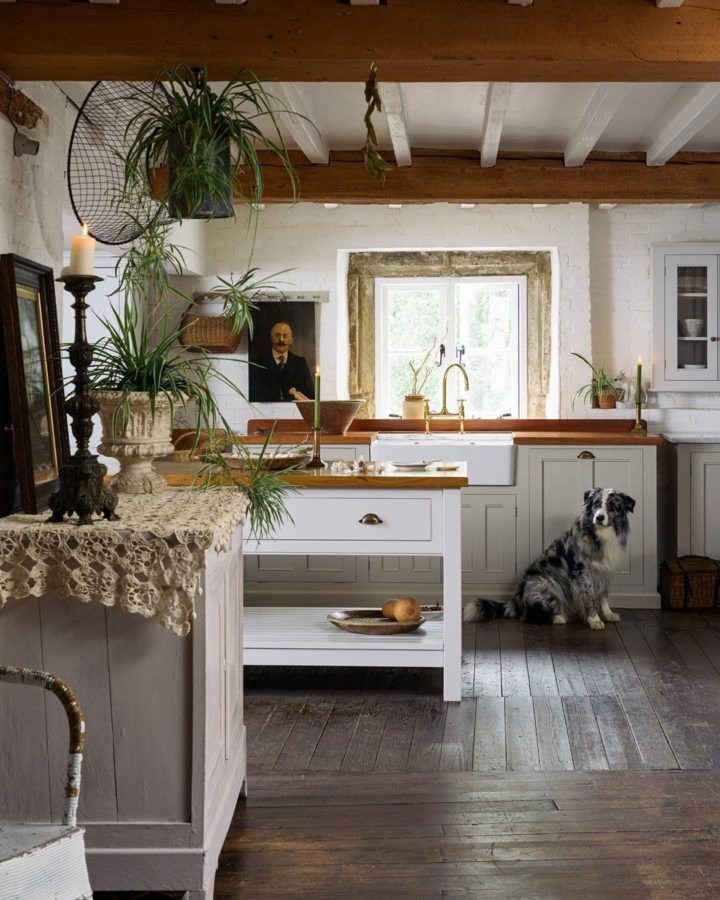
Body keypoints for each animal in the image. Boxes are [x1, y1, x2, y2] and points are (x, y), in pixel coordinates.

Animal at [464, 488, 632, 628]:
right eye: (596, 504)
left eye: (612, 506)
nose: (599, 517)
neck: (600, 535)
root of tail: (517, 602)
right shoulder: (581, 572)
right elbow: (589, 597)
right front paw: (594, 620)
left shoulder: (605, 571)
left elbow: (603, 595)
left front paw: (608, 614)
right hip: (545, 584)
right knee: (529, 615)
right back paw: (558, 617)